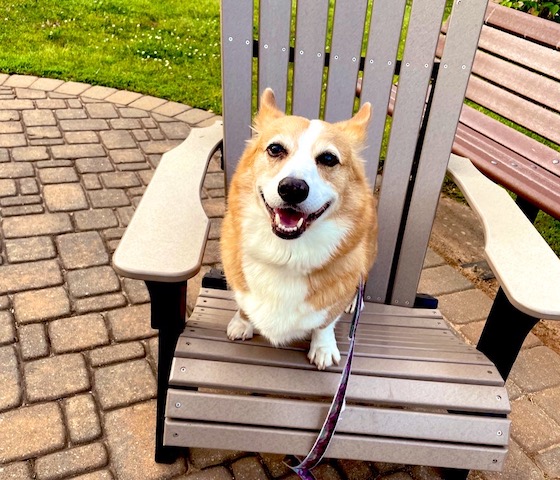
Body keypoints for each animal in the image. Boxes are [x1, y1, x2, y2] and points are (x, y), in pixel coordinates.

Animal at [219, 88, 376, 370]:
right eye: (275, 149)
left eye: (328, 158)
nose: (292, 188)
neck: (285, 254)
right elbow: (243, 304)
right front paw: (242, 323)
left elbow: (325, 322)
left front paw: (323, 348)